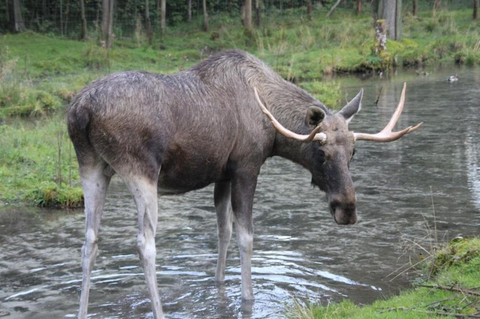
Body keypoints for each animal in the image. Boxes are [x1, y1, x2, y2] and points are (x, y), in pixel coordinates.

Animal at [66, 48, 420, 318]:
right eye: (321, 152)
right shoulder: (247, 168)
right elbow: (246, 237)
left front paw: (220, 287)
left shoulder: (222, 174)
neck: (274, 129)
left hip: (92, 167)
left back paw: (82, 311)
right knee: (144, 244)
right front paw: (247, 298)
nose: (347, 208)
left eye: (353, 151)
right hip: (141, 171)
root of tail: (81, 111)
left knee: (89, 241)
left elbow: (223, 232)